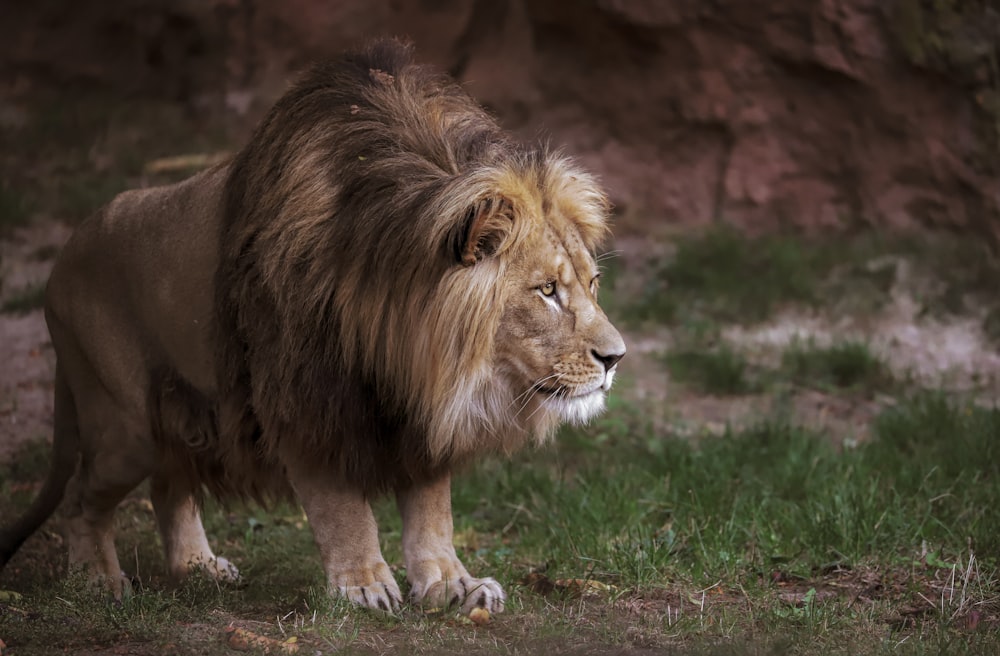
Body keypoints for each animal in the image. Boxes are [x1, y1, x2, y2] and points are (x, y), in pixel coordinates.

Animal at [0, 38, 624, 616]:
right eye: (547, 291)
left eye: (592, 284)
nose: (616, 358)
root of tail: (63, 256)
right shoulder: (304, 397)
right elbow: (341, 506)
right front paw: (363, 585)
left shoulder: (419, 410)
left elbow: (432, 511)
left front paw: (452, 585)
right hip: (123, 425)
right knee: (81, 496)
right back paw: (97, 581)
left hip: (180, 414)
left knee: (169, 484)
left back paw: (197, 567)